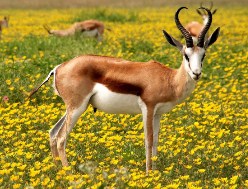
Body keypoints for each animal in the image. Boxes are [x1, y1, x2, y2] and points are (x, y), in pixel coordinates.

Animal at [29, 7, 221, 173]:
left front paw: (156, 173)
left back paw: (58, 171)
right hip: (77, 107)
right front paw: (148, 174)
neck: (169, 79)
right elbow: (148, 140)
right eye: (186, 55)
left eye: (203, 55)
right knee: (61, 138)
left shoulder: (158, 113)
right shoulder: (148, 109)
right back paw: (69, 173)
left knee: (53, 133)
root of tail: (58, 68)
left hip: (73, 107)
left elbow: (156, 141)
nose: (196, 73)